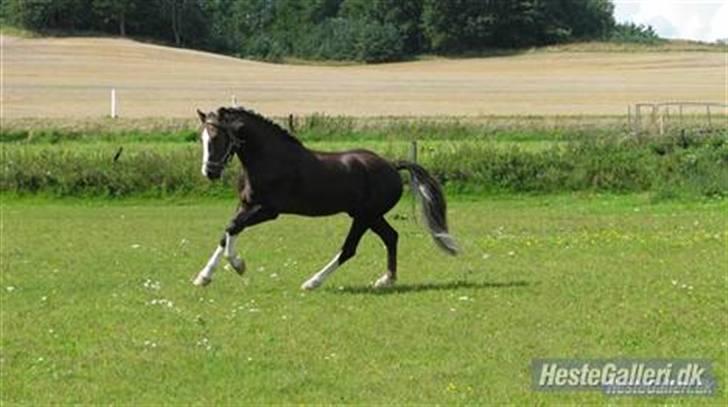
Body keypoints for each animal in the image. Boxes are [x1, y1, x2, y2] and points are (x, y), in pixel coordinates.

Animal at [191, 107, 458, 290]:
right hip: (370, 216)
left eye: (216, 138)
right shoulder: (245, 205)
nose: (210, 172)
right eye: (201, 138)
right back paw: (386, 280)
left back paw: (313, 282)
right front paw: (203, 277)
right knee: (391, 237)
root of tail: (392, 166)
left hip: (364, 216)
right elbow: (227, 233)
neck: (269, 158)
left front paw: (238, 266)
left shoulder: (267, 210)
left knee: (350, 249)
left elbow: (231, 227)